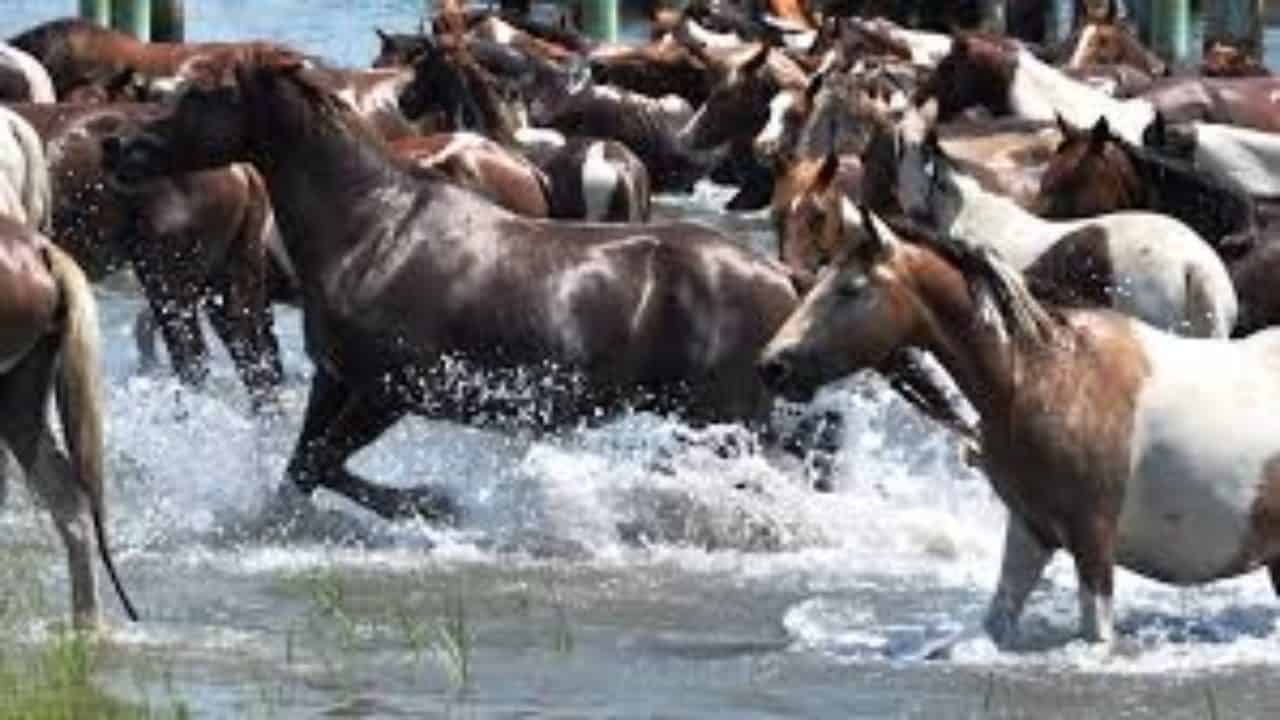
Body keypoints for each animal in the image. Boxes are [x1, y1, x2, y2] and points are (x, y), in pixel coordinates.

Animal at [104, 51, 826, 520]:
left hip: (723, 420)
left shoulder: (389, 391)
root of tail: (781, 275)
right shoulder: (334, 380)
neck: (371, 229)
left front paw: (432, 503)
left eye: (199, 94)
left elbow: (325, 465)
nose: (117, 145)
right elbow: (300, 471)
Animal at [759, 206, 1280, 649]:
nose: (772, 365)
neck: (1045, 375)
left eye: (850, 288)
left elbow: (1096, 635)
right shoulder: (1032, 530)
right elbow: (998, 619)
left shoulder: (1092, 540)